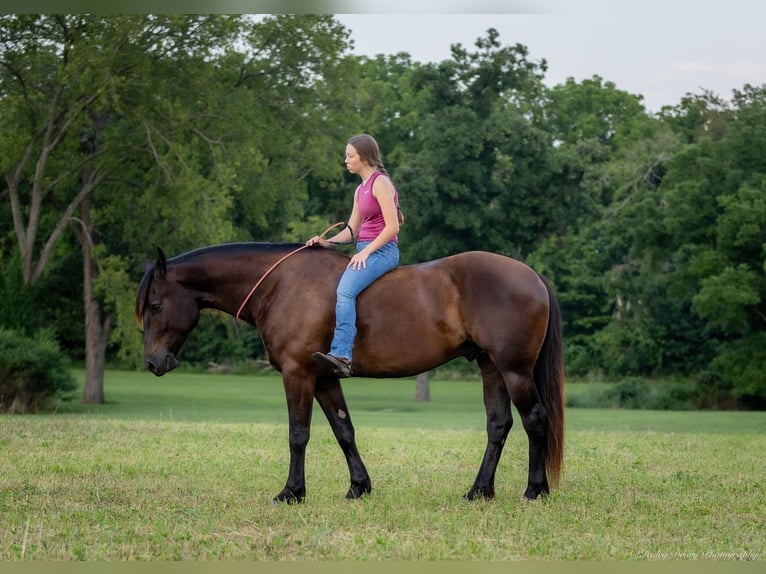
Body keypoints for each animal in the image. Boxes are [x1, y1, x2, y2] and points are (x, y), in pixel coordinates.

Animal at [135, 243, 568, 504]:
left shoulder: (297, 374)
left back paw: (535, 490)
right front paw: (359, 487)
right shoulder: (325, 378)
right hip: (491, 368)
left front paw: (292, 492)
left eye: (155, 305)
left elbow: (298, 435)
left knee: (534, 420)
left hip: (514, 370)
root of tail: (531, 276)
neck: (282, 285)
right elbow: (344, 431)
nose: (153, 363)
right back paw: (479, 490)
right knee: (498, 425)